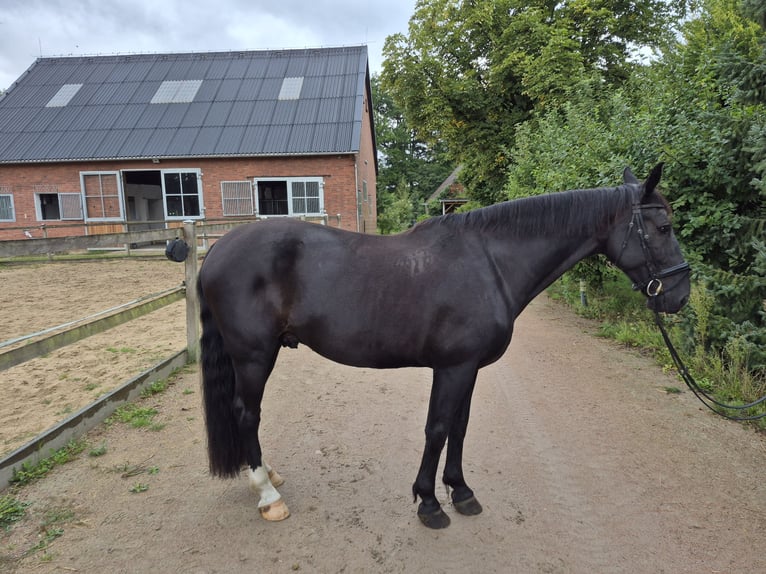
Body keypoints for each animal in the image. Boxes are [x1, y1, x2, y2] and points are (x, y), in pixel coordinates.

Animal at [197, 164, 690, 529]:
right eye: (664, 226)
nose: (680, 295)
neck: (489, 262)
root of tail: (217, 249)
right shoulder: (453, 367)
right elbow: (436, 429)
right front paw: (430, 503)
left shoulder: (469, 368)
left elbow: (459, 427)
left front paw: (461, 492)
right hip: (254, 355)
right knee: (247, 413)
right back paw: (268, 494)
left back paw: (267, 475)